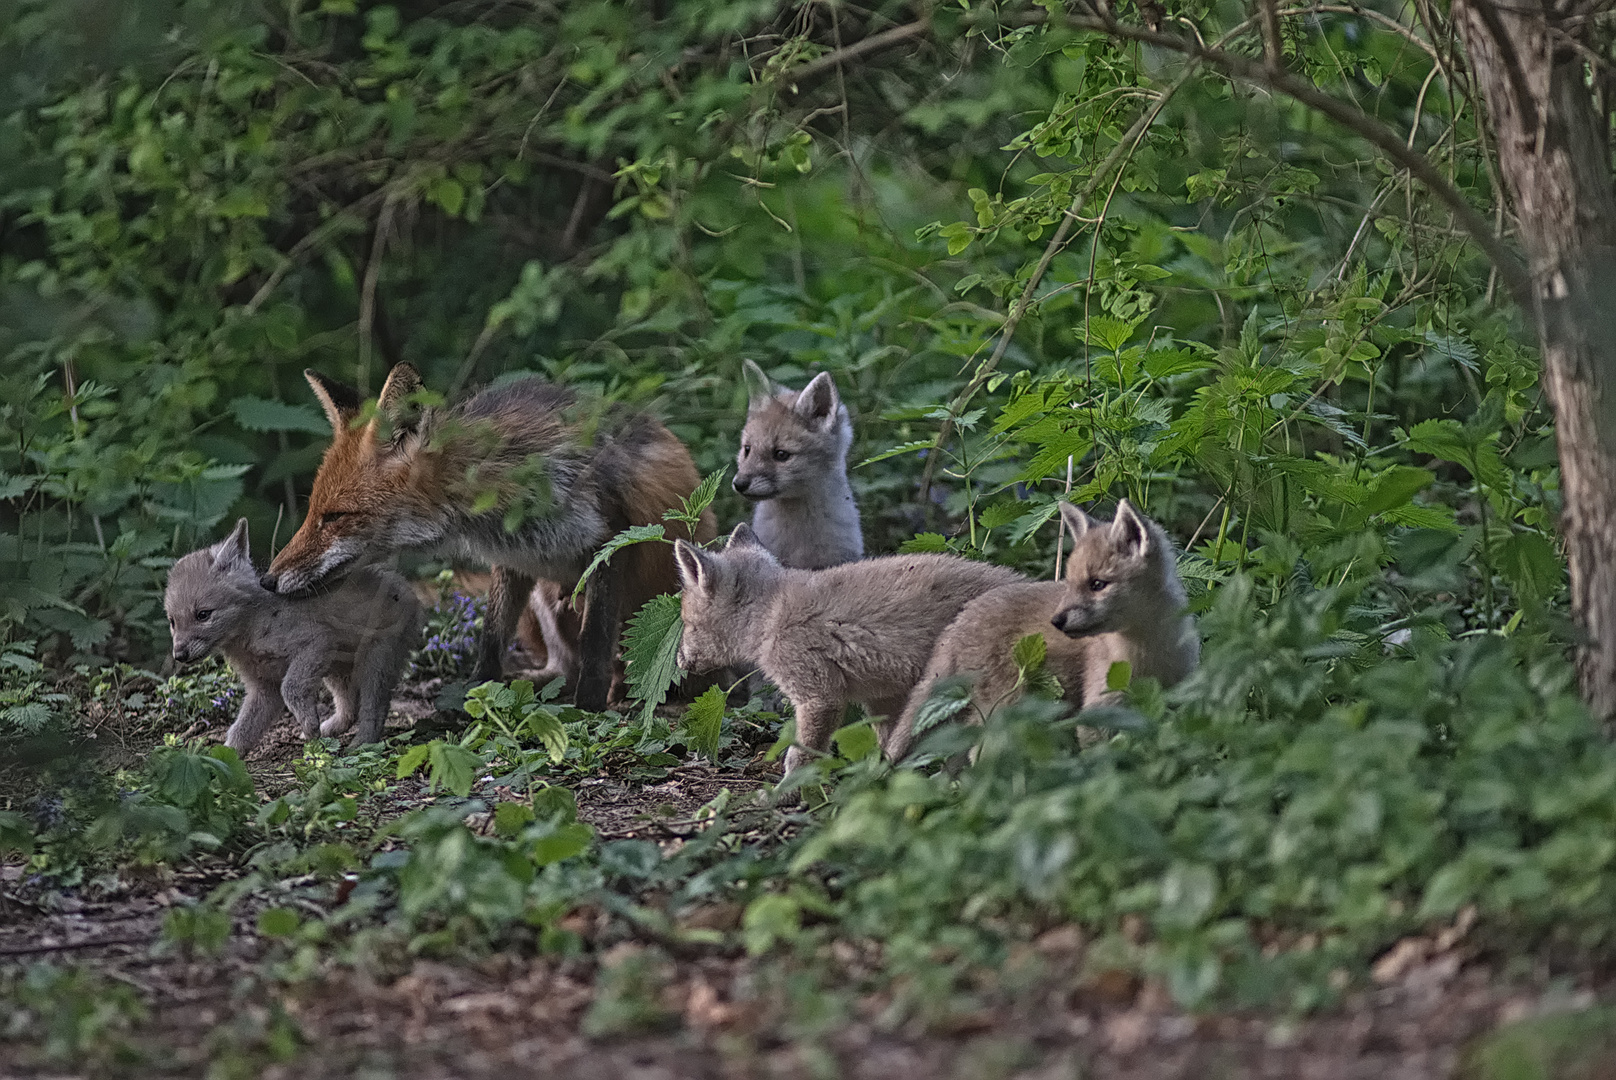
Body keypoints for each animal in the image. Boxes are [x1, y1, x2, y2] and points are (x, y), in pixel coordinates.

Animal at [260, 365, 714, 708]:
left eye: (335, 517)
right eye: (312, 512)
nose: (267, 580)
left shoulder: (611, 538)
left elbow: (595, 640)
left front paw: (588, 707)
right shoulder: (515, 559)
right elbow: (491, 640)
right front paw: (478, 699)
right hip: (543, 600)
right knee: (558, 666)